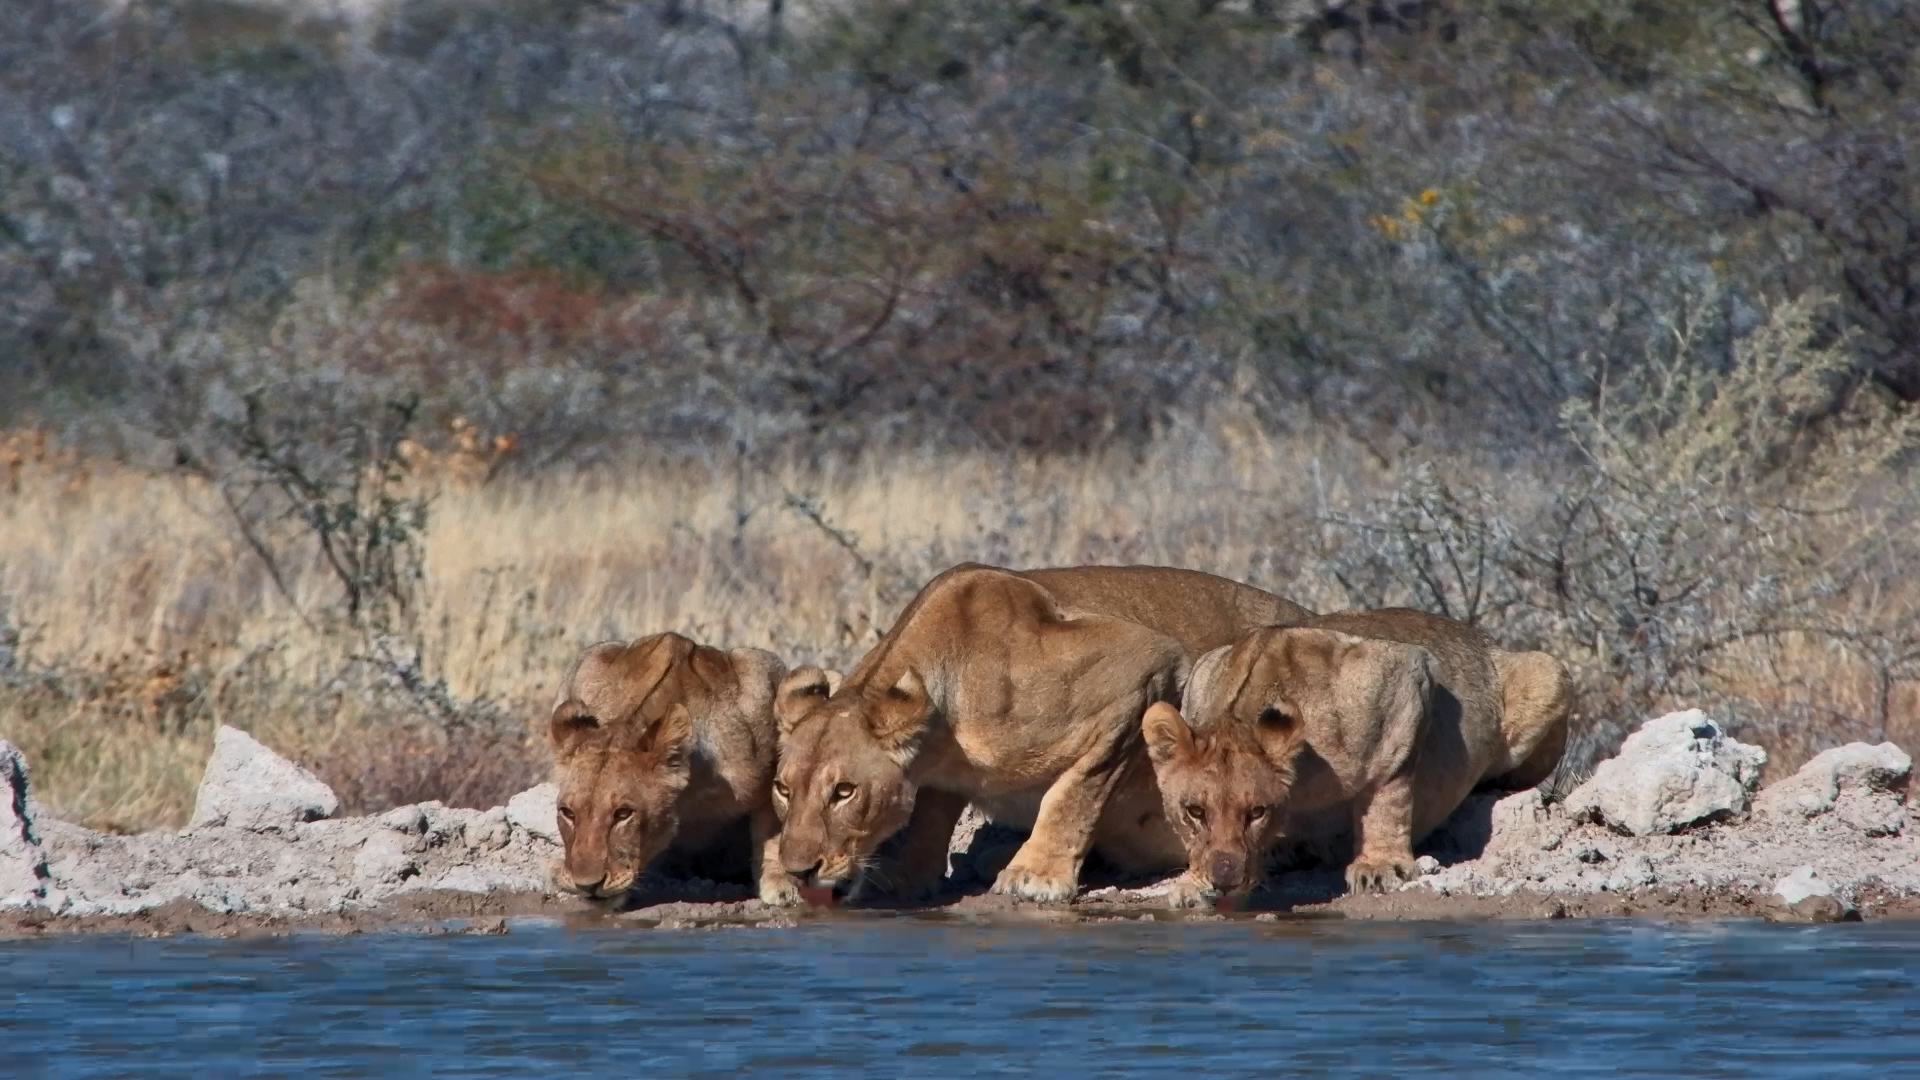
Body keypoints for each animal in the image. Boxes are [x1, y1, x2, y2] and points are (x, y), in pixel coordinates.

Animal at [548, 631, 822, 907]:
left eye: (623, 814)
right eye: (567, 813)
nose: (586, 885)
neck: (686, 797)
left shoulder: (764, 682)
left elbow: (773, 827)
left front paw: (781, 884)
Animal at [771, 563, 1311, 904]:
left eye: (844, 791)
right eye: (782, 788)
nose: (798, 871)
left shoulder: (1144, 668)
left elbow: (1076, 791)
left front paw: (1035, 875)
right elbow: (930, 812)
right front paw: (905, 874)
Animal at [1142, 608, 1569, 907]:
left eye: (1257, 812)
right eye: (1195, 812)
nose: (1224, 878)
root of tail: (1485, 637)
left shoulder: (1404, 677)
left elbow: (1389, 792)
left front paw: (1379, 866)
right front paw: (1191, 883)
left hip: (1548, 670)